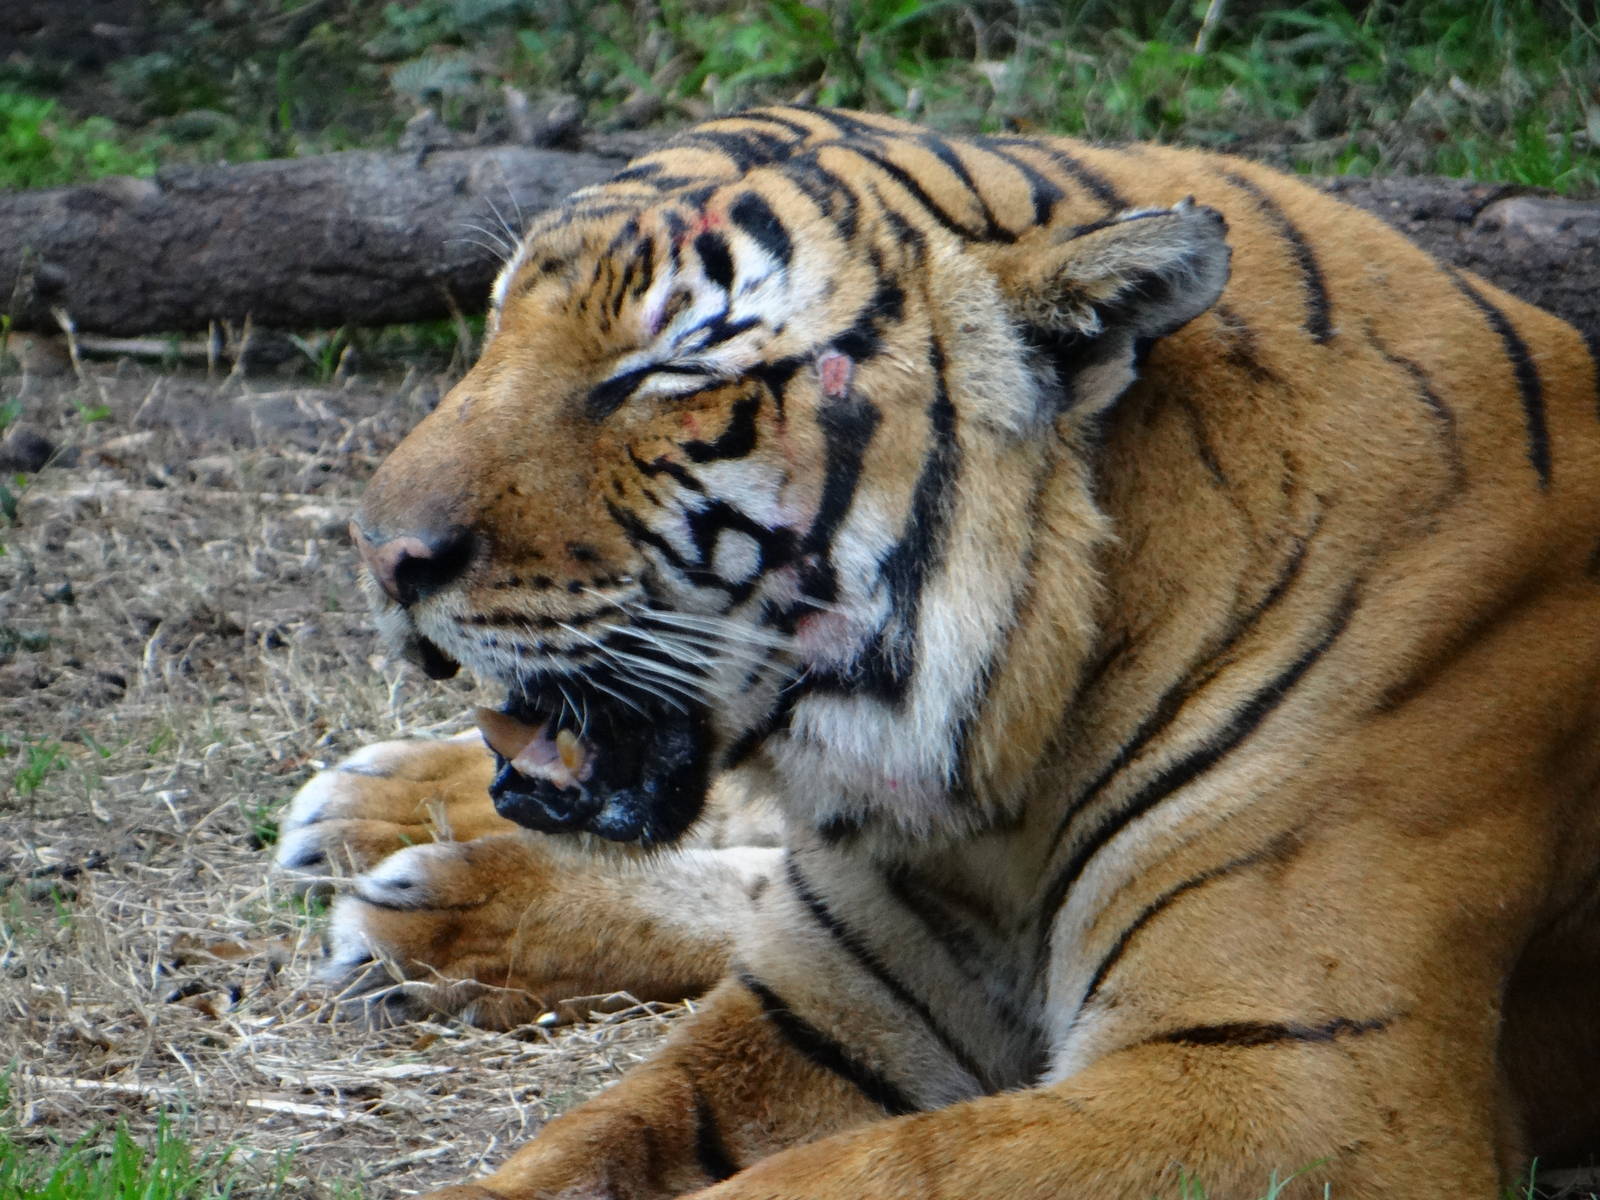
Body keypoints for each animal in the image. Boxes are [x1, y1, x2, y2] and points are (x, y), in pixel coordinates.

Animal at [273, 105, 1600, 1198]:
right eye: (497, 324)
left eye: (663, 373)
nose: (380, 553)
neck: (1006, 783)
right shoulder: (831, 1009)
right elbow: (593, 1133)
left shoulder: (1299, 1083)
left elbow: (868, 1173)